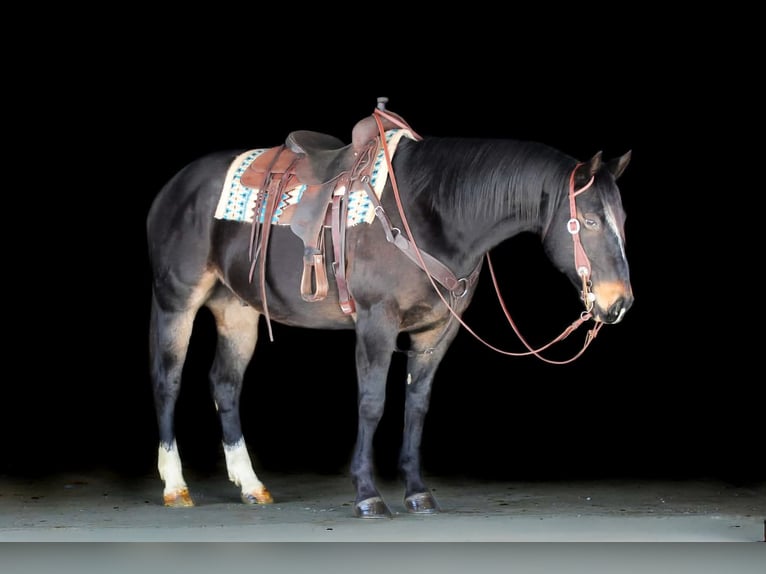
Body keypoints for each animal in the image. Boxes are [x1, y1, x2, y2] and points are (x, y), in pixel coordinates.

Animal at [146, 102, 634, 518]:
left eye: (623, 220)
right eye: (589, 221)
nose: (620, 302)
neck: (429, 211)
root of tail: (173, 188)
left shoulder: (436, 331)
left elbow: (416, 405)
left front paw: (417, 492)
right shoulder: (376, 322)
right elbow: (372, 402)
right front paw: (367, 494)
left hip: (238, 310)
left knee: (225, 385)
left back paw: (251, 486)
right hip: (176, 301)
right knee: (168, 380)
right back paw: (175, 487)